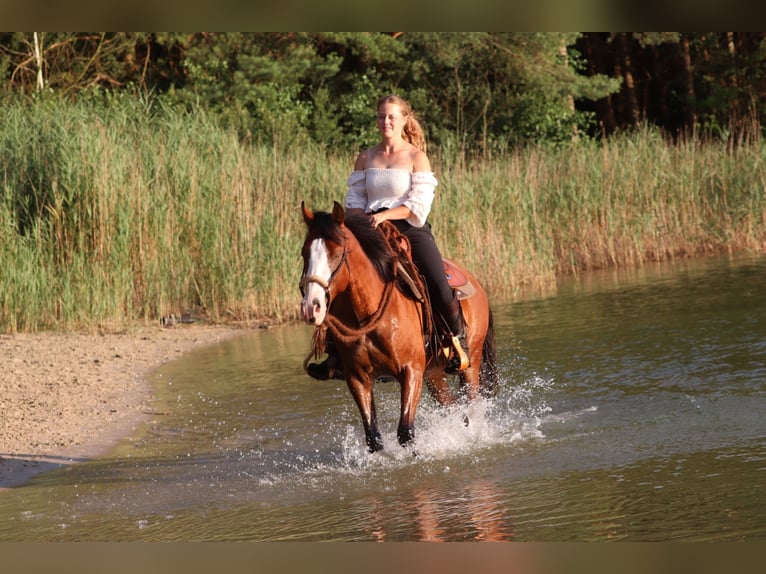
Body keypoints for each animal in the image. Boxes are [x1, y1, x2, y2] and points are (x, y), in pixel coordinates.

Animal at [299, 201, 497, 452]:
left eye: (336, 252)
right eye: (304, 252)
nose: (311, 307)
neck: (368, 313)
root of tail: (477, 283)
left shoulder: (410, 370)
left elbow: (406, 433)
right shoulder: (357, 378)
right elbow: (373, 439)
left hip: (470, 364)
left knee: (472, 408)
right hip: (432, 373)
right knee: (454, 408)